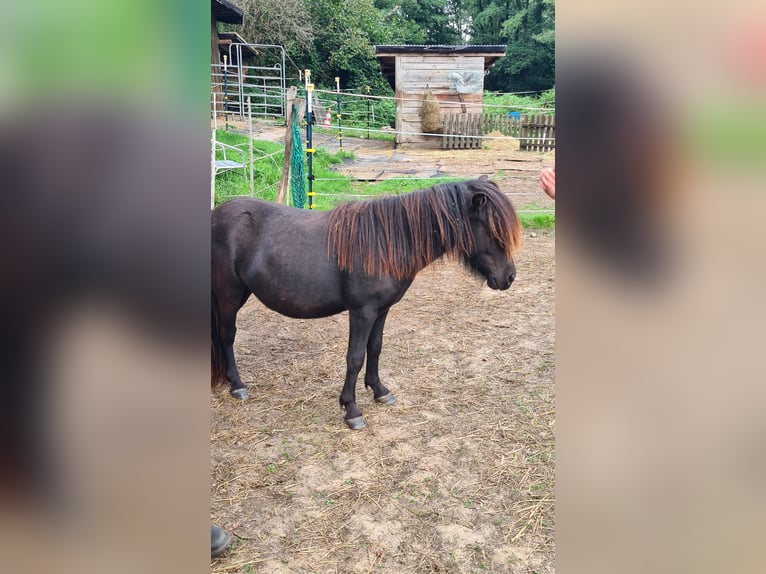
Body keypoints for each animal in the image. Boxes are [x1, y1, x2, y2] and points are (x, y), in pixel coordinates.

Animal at [212, 179, 520, 428]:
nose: (509, 277)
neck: (386, 242)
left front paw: (380, 391)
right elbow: (355, 358)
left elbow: (375, 348)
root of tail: (217, 215)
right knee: (227, 336)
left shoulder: (381, 310)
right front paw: (351, 410)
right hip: (229, 294)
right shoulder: (362, 313)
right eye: (493, 230)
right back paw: (237, 385)